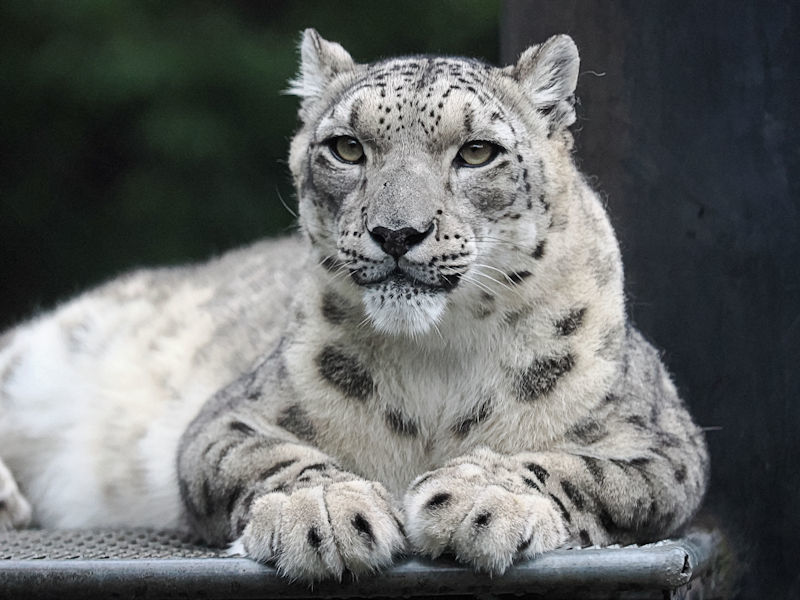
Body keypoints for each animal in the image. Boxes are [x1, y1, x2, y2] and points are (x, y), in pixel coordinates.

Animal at [0, 29, 708, 580]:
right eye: (346, 146)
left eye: (477, 152)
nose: (396, 232)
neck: (438, 361)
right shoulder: (230, 417)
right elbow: (267, 457)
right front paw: (323, 512)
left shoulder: (664, 443)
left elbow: (583, 466)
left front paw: (482, 495)